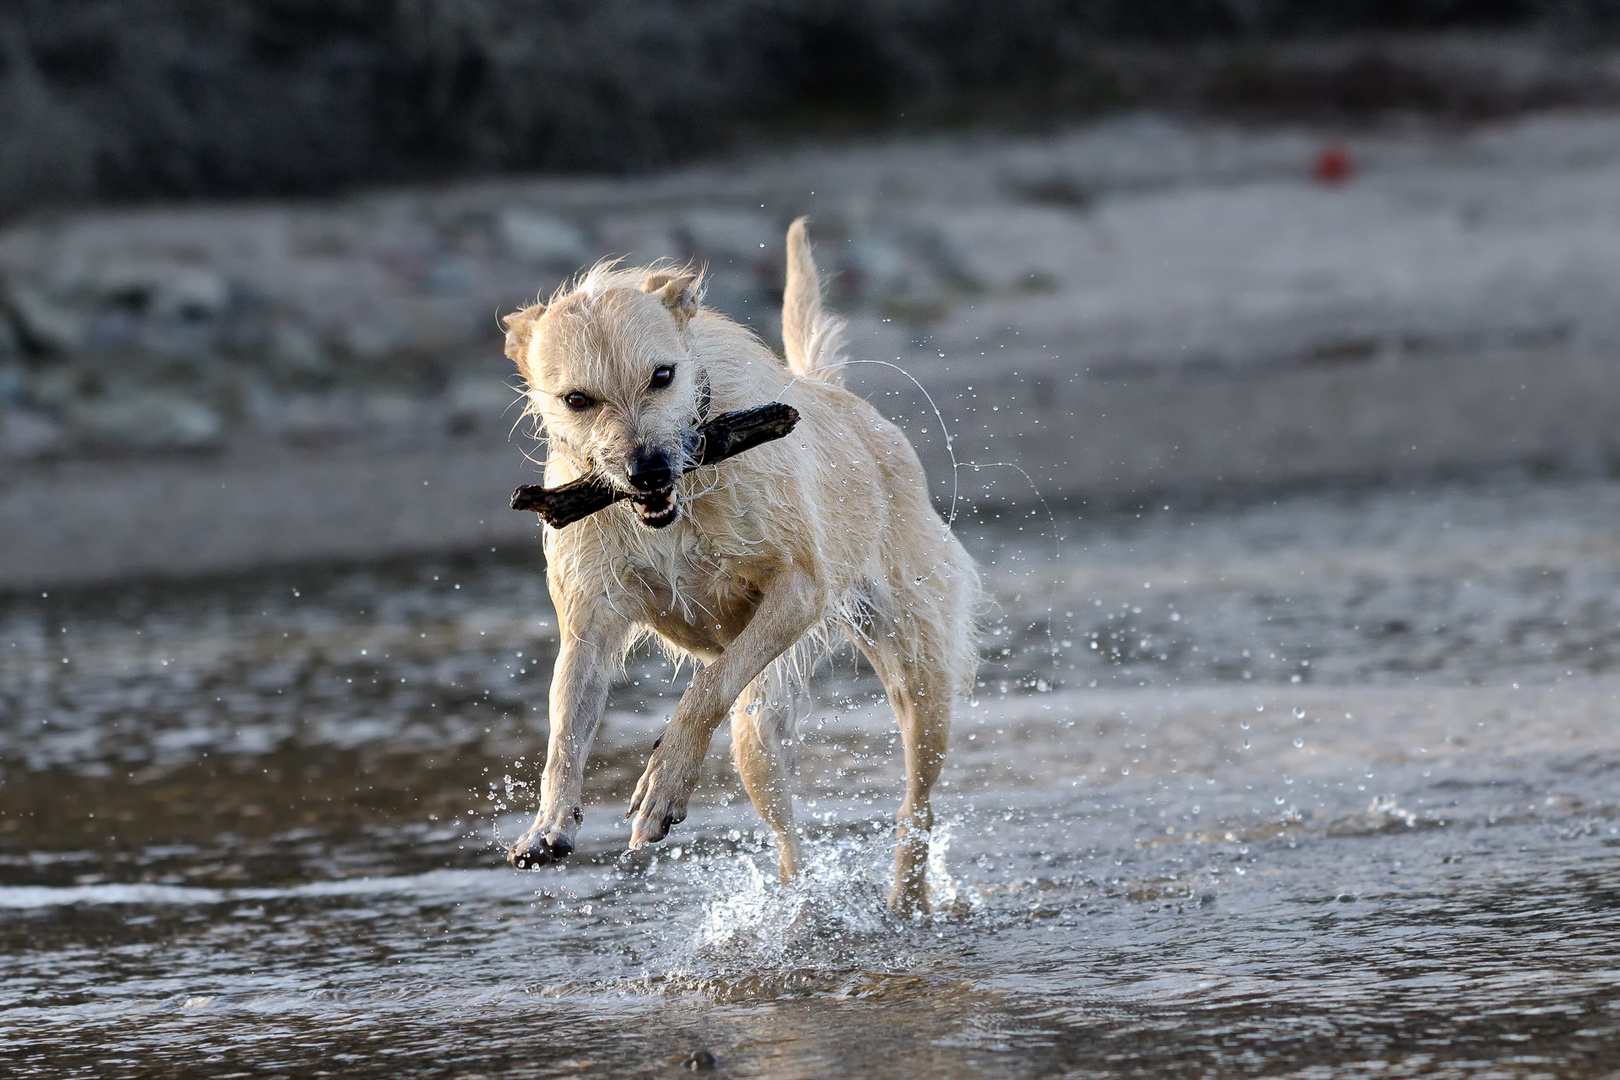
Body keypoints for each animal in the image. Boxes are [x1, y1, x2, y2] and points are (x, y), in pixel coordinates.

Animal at [498, 216, 978, 913]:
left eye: (662, 375)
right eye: (577, 398)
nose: (648, 471)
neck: (680, 510)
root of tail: (837, 394)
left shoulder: (800, 590)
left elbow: (705, 690)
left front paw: (663, 782)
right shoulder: (589, 625)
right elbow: (566, 724)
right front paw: (549, 822)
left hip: (918, 678)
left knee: (918, 805)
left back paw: (905, 900)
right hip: (760, 737)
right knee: (788, 840)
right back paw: (799, 906)